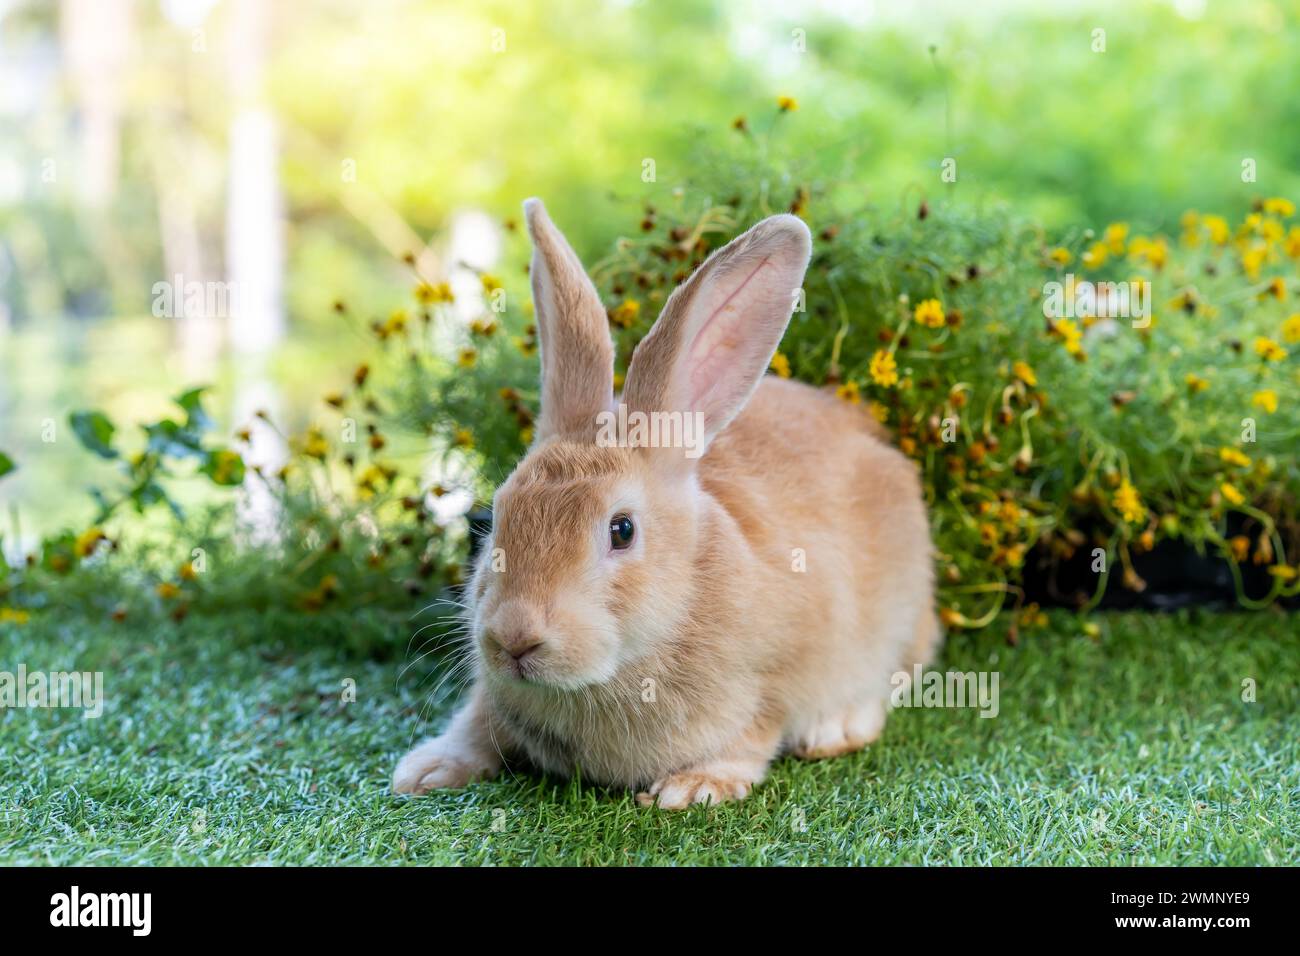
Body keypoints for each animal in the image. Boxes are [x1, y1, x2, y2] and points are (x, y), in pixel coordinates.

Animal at [392, 198, 940, 809]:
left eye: (622, 530)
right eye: (496, 517)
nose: (514, 637)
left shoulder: (780, 674)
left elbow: (754, 732)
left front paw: (691, 787)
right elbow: (477, 723)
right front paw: (425, 770)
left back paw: (833, 729)